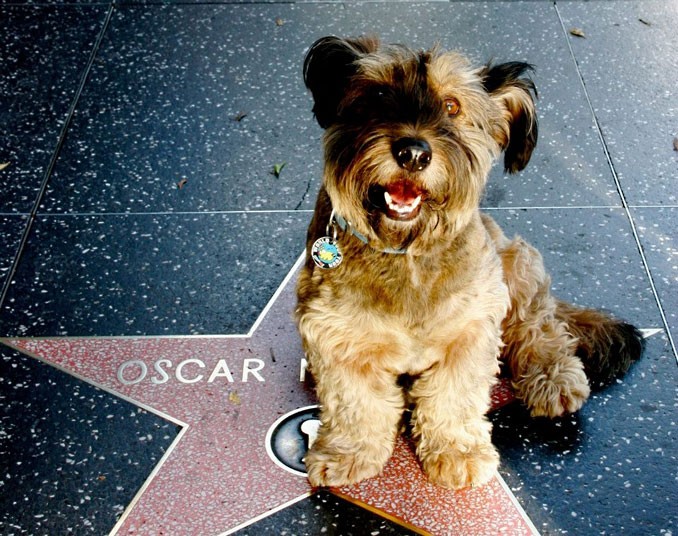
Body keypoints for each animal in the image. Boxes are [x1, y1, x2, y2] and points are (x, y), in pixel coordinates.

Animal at [296, 35, 644, 492]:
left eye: (452, 106)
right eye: (379, 94)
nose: (413, 153)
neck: (406, 251)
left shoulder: (471, 330)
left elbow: (453, 398)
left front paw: (456, 452)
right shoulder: (337, 338)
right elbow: (355, 402)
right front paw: (347, 452)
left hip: (517, 265)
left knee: (541, 327)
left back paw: (551, 377)